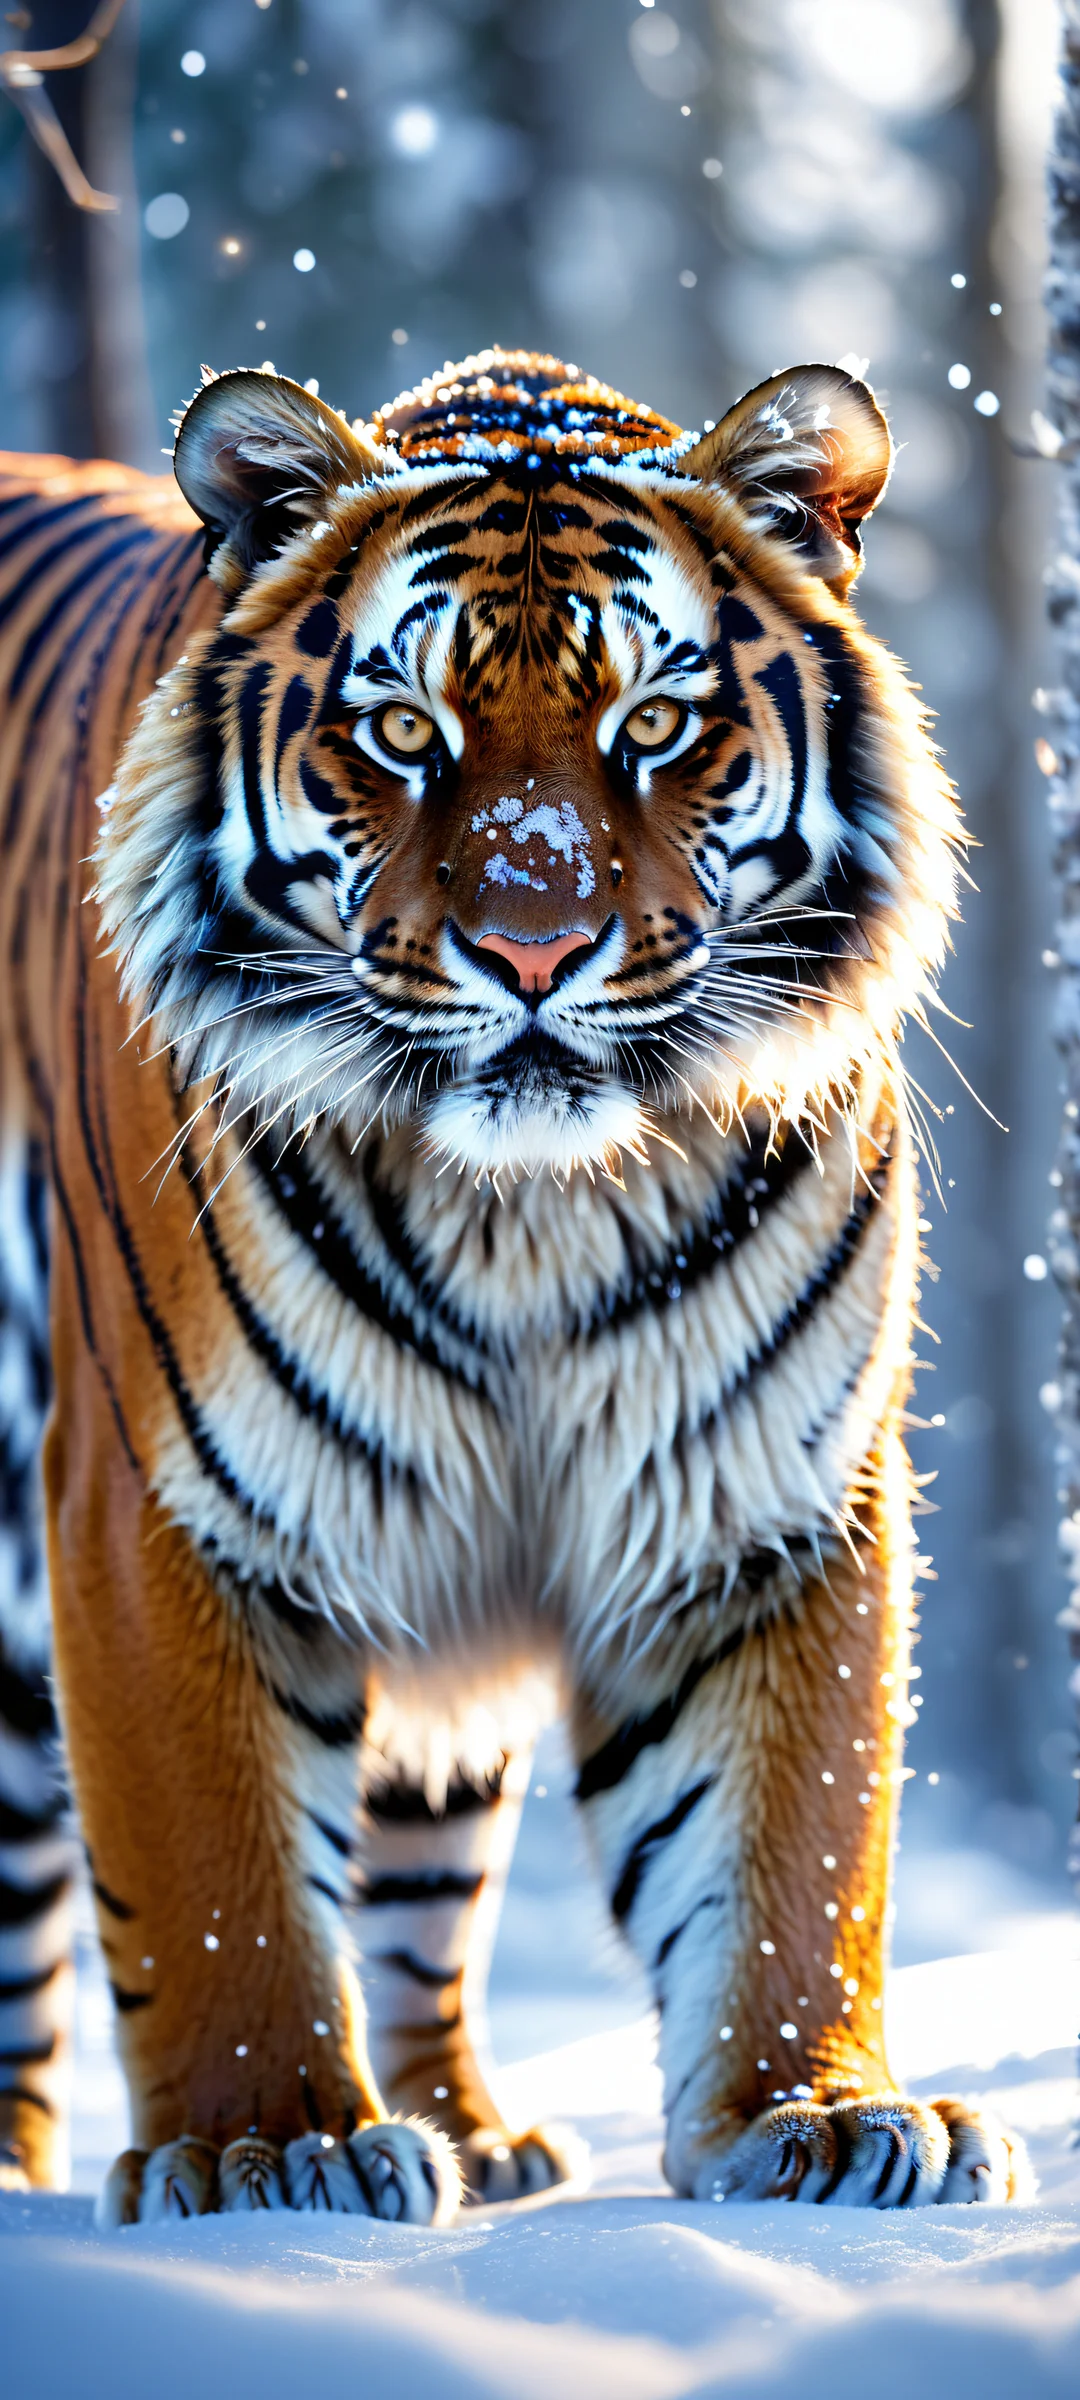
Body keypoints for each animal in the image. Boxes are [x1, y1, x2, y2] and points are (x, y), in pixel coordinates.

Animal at [0, 348, 1029, 2221]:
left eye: (657, 725)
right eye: (404, 731)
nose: (533, 946)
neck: (529, 1221)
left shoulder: (764, 1502)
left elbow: (790, 1839)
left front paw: (817, 2115)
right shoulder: (151, 1508)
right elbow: (211, 1875)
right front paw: (270, 2148)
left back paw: (486, 2137)